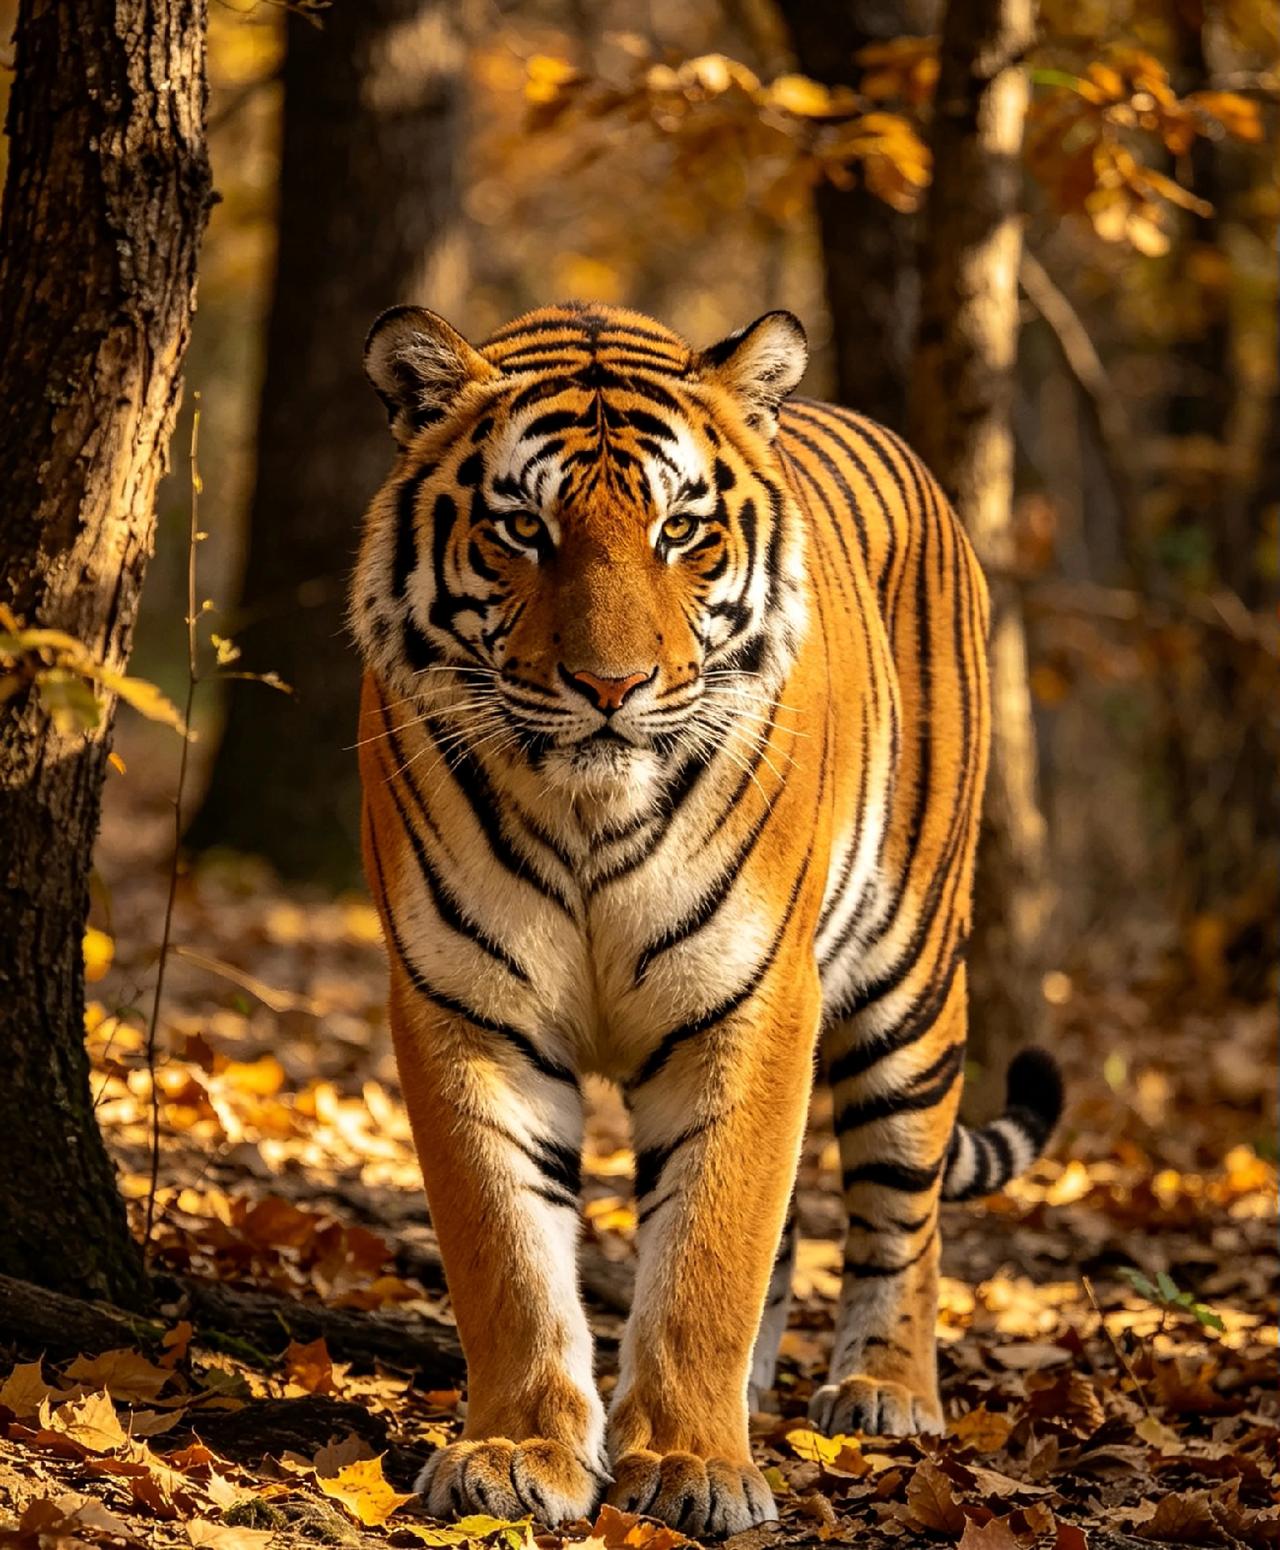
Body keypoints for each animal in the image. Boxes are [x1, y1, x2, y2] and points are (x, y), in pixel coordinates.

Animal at [349, 300, 1063, 1537]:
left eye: (680, 529)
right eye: (522, 528)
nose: (610, 686)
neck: (586, 809)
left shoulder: (753, 997)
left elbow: (710, 1250)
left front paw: (690, 1466)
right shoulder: (462, 1004)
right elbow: (508, 1251)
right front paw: (518, 1452)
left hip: (911, 976)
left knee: (903, 1204)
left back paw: (885, 1390)